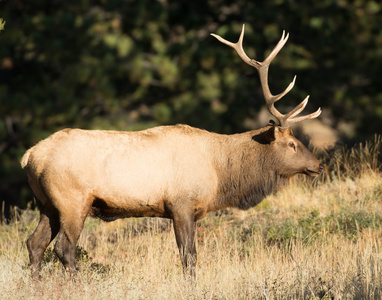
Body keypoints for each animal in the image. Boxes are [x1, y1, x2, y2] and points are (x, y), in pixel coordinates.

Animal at [20, 25, 322, 278]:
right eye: (291, 144)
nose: (318, 164)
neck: (221, 175)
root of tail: (30, 156)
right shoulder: (182, 204)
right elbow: (189, 257)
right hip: (73, 200)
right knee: (64, 248)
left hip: (47, 204)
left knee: (35, 243)